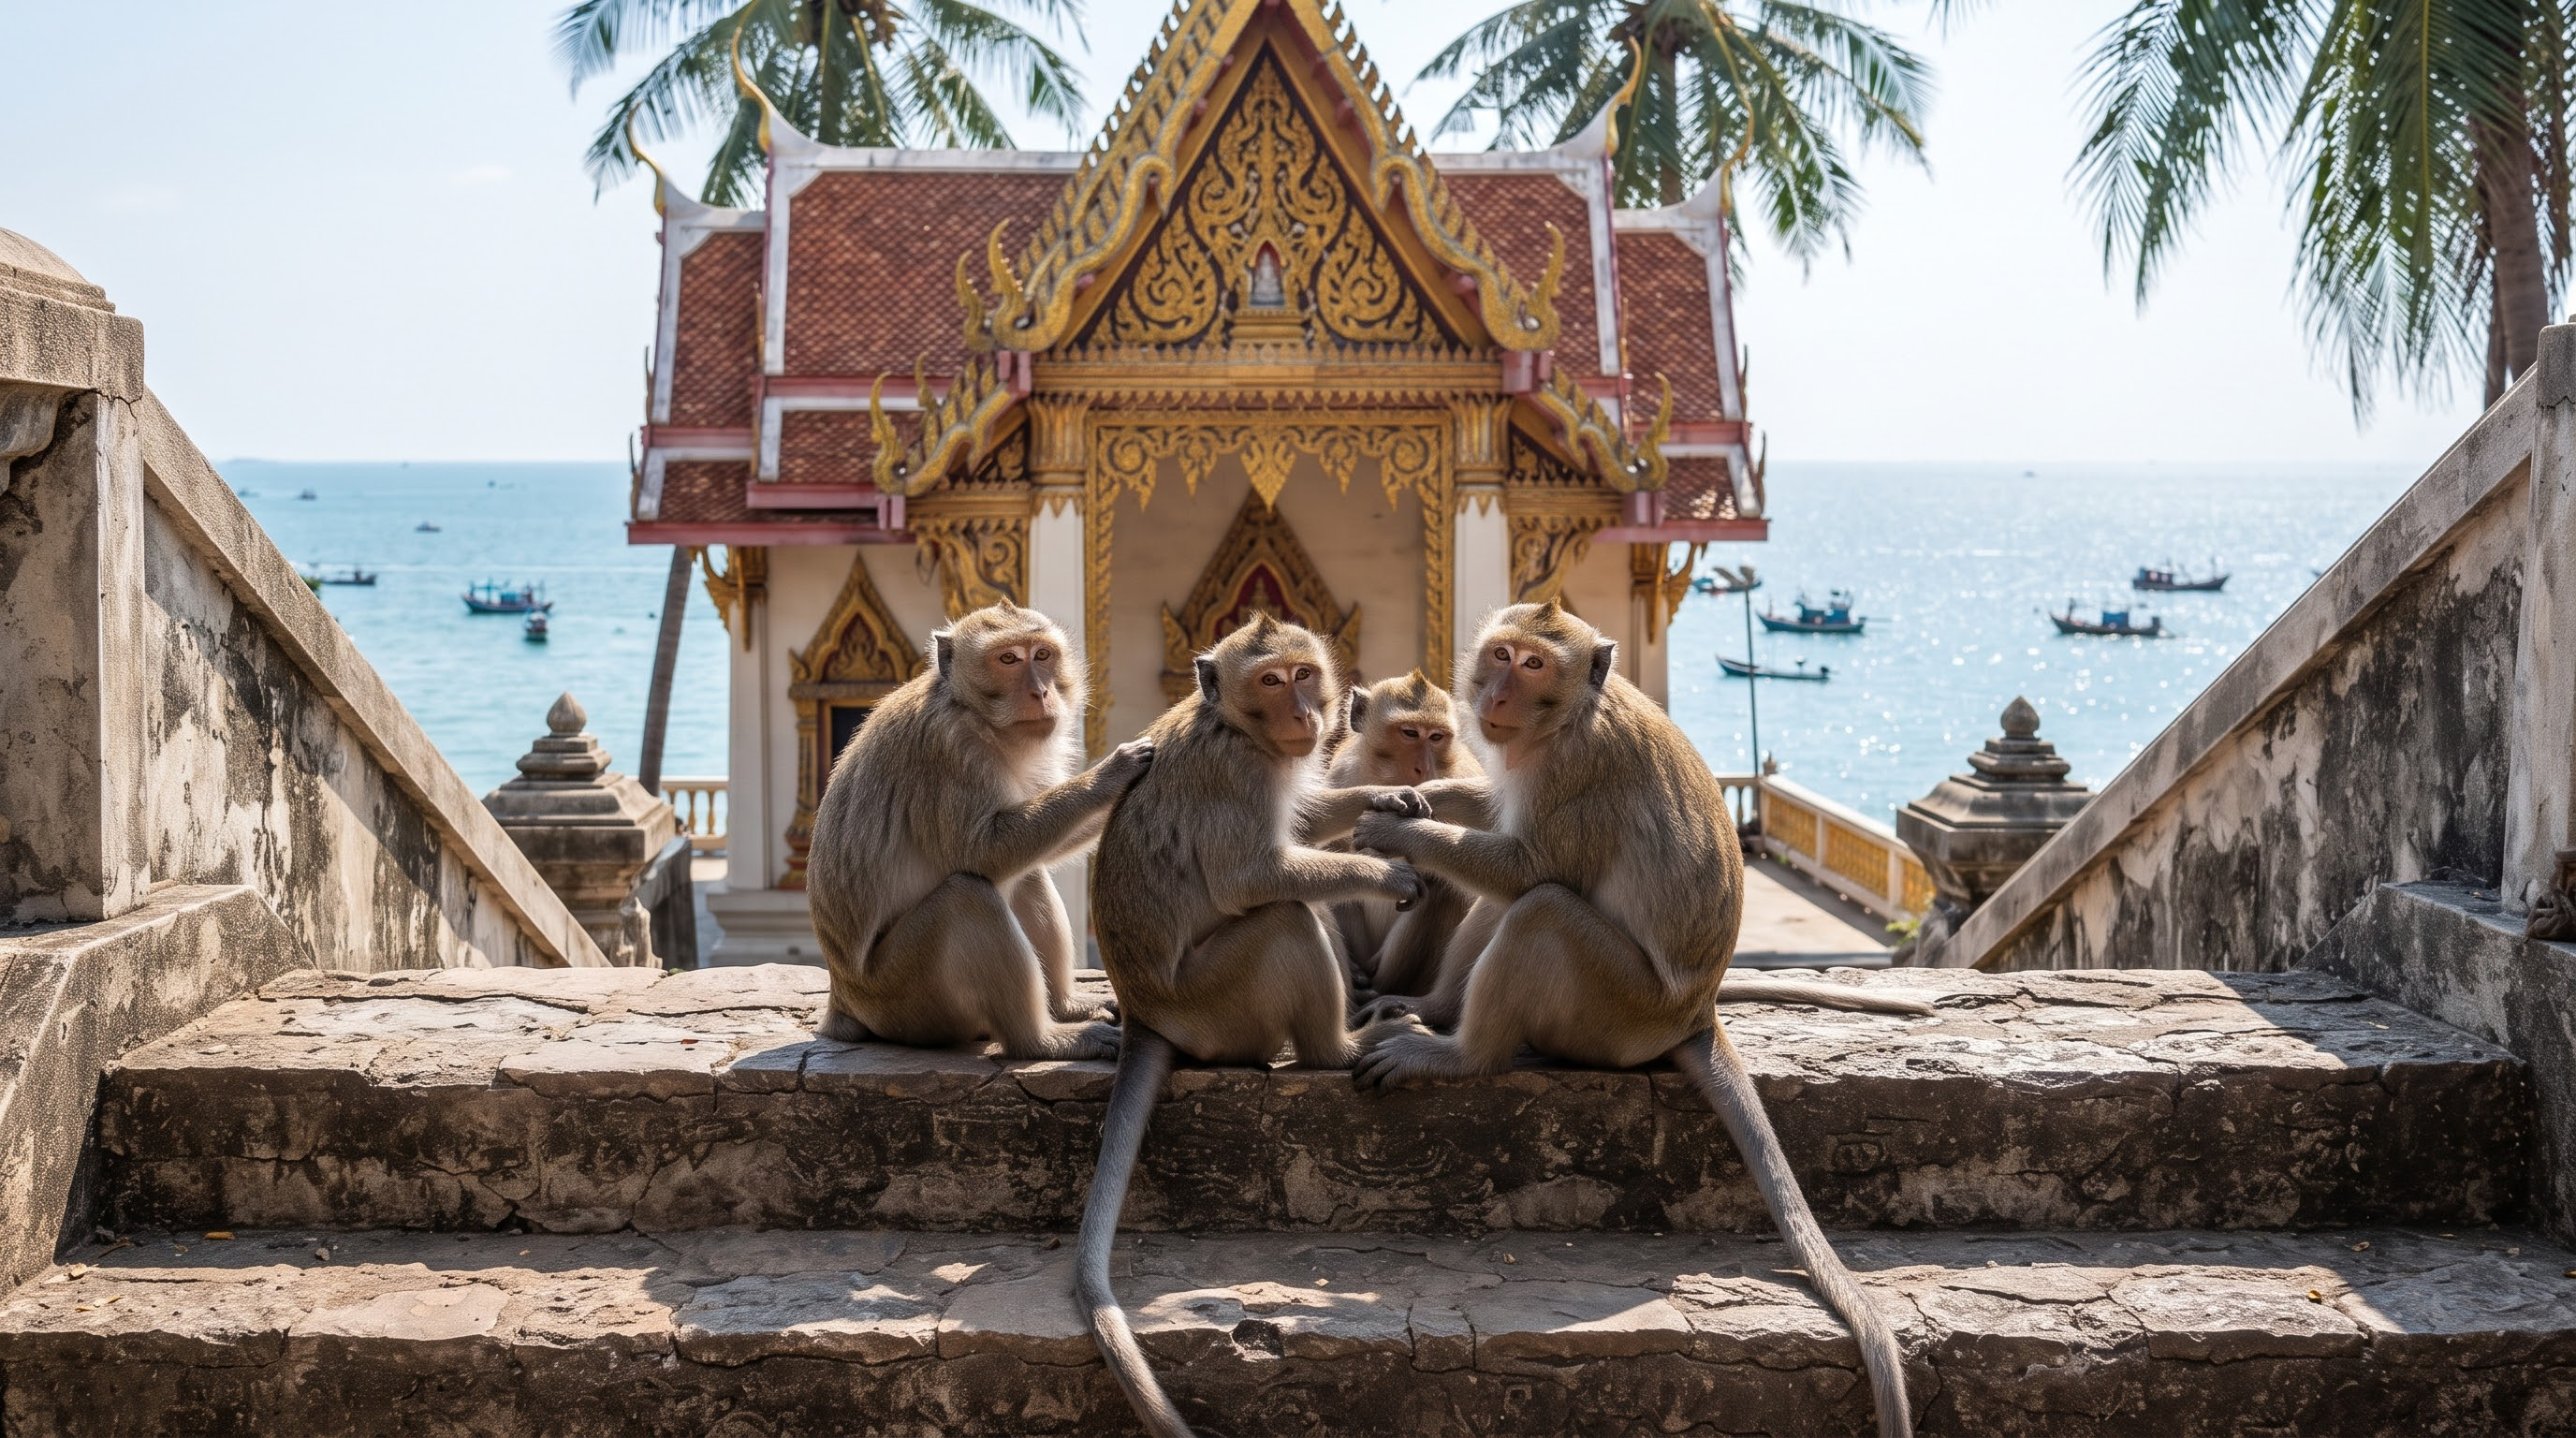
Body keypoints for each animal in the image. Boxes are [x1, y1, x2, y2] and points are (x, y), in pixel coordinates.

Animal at [805, 601, 1152, 1062]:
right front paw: (1114, 771)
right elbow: (981, 852)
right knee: (969, 896)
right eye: (1008, 659)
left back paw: (1065, 1007)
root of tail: (842, 999)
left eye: (1042, 655)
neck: (972, 713)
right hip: (902, 994)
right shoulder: (948, 749)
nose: (1041, 692)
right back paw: (1042, 1040)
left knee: (1026, 872)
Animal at [1075, 614, 1425, 1438]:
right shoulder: (1237, 775)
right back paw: (1340, 1048)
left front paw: (1388, 795)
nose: (1303, 713)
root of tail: (1145, 1014)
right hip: (1218, 1003)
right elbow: (1254, 877)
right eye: (1269, 681)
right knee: (1286, 919)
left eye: (1303, 674)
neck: (1239, 729)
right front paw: (1387, 873)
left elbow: (1308, 813)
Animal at [1348, 601, 1916, 1438]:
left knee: (1541, 905)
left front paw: (1398, 832)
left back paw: (1458, 1053)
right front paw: (1412, 800)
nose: (1497, 695)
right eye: (1502, 655)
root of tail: (1696, 1014)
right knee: (1511, 902)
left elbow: (1523, 864)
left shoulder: (1579, 768)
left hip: (1615, 1007)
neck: (1564, 719)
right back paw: (1431, 1012)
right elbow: (1496, 814)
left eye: (1535, 665)